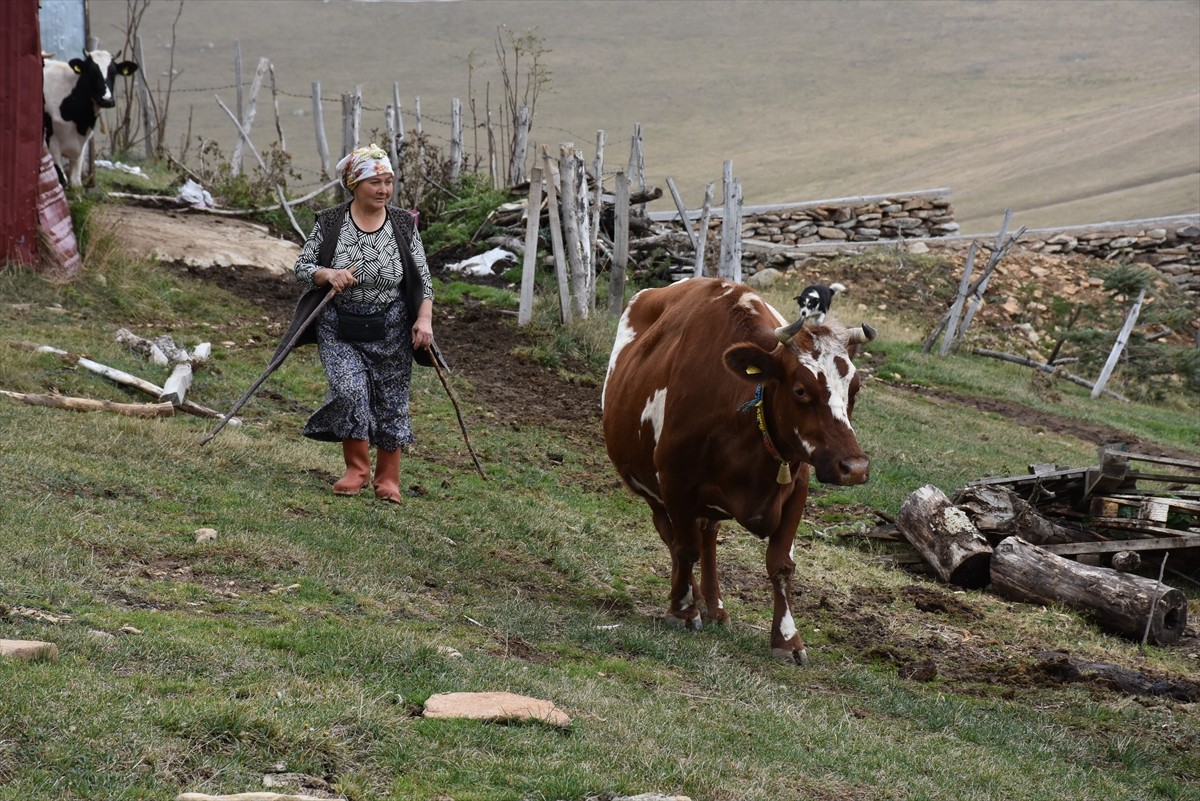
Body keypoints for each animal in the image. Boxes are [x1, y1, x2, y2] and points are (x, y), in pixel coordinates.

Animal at [43, 50, 138, 188]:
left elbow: (76, 182)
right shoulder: (51, 142)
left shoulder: (80, 146)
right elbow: (62, 180)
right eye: (92, 72)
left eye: (114, 73)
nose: (107, 100)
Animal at [604, 276, 878, 661]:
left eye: (855, 389)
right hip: (651, 489)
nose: (854, 467)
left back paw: (715, 606)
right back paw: (690, 599)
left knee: (708, 536)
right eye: (800, 390)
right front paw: (682, 610)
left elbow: (781, 565)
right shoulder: (674, 482)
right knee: (672, 536)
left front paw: (787, 639)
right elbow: (684, 548)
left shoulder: (797, 487)